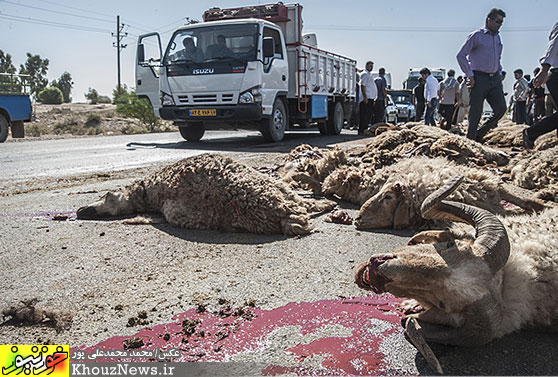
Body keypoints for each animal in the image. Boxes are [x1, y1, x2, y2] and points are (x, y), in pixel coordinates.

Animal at [76, 152, 334, 234]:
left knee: (303, 208)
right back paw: (325, 205)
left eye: (107, 196)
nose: (81, 210)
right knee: (304, 206)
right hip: (281, 195)